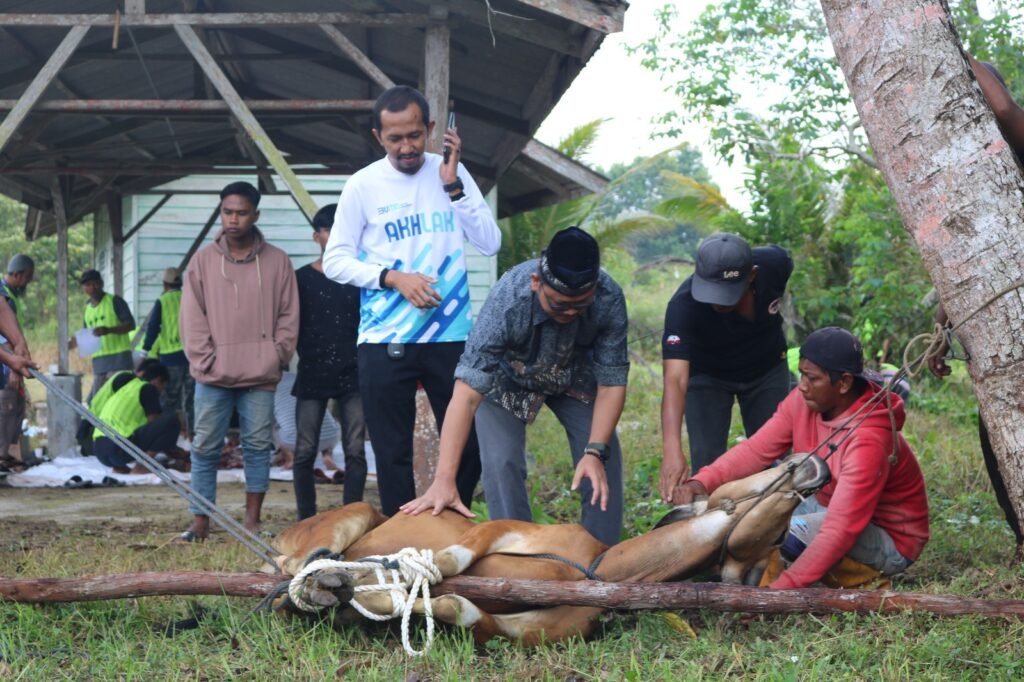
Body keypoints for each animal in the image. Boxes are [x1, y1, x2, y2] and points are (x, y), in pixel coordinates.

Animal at [268, 450, 827, 643]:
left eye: (778, 535)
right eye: (761, 469)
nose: (811, 463)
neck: (597, 569)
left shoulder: (523, 631)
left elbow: (457, 608)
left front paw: (380, 595)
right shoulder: (505, 529)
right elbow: (452, 558)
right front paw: (389, 578)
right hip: (347, 517)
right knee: (290, 571)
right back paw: (323, 575)